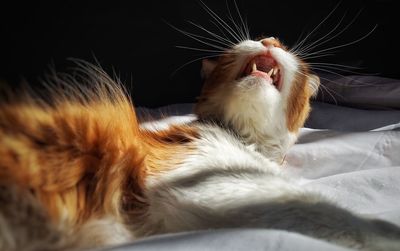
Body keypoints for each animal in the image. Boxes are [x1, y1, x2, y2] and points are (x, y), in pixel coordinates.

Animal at [0, 35, 400, 251]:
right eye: (268, 39)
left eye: (282, 44)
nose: (270, 40)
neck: (240, 136)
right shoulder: (216, 181)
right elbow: (333, 215)